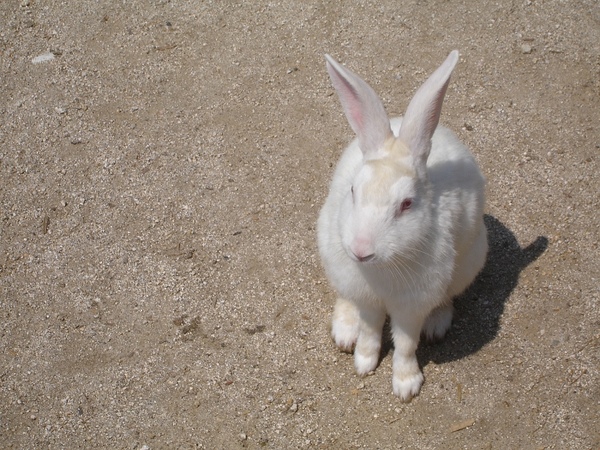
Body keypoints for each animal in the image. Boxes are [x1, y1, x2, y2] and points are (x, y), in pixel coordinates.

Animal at [316, 51, 490, 400]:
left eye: (407, 204)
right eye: (353, 191)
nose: (361, 250)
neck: (381, 269)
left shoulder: (411, 306)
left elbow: (406, 345)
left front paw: (406, 385)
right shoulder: (367, 300)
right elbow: (370, 331)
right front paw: (364, 363)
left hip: (469, 261)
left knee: (447, 298)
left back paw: (436, 326)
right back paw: (344, 331)